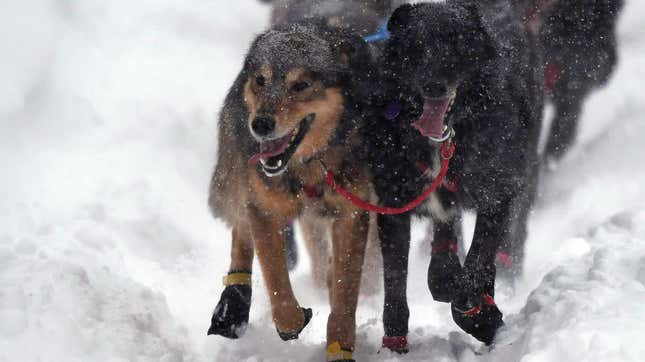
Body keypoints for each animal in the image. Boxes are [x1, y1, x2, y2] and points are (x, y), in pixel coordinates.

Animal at [208, 21, 378, 360]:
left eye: (301, 85)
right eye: (261, 80)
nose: (260, 124)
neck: (306, 167)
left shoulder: (353, 214)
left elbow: (346, 291)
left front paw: (340, 346)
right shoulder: (264, 209)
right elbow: (275, 276)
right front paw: (292, 321)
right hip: (237, 179)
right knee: (241, 230)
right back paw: (233, 302)